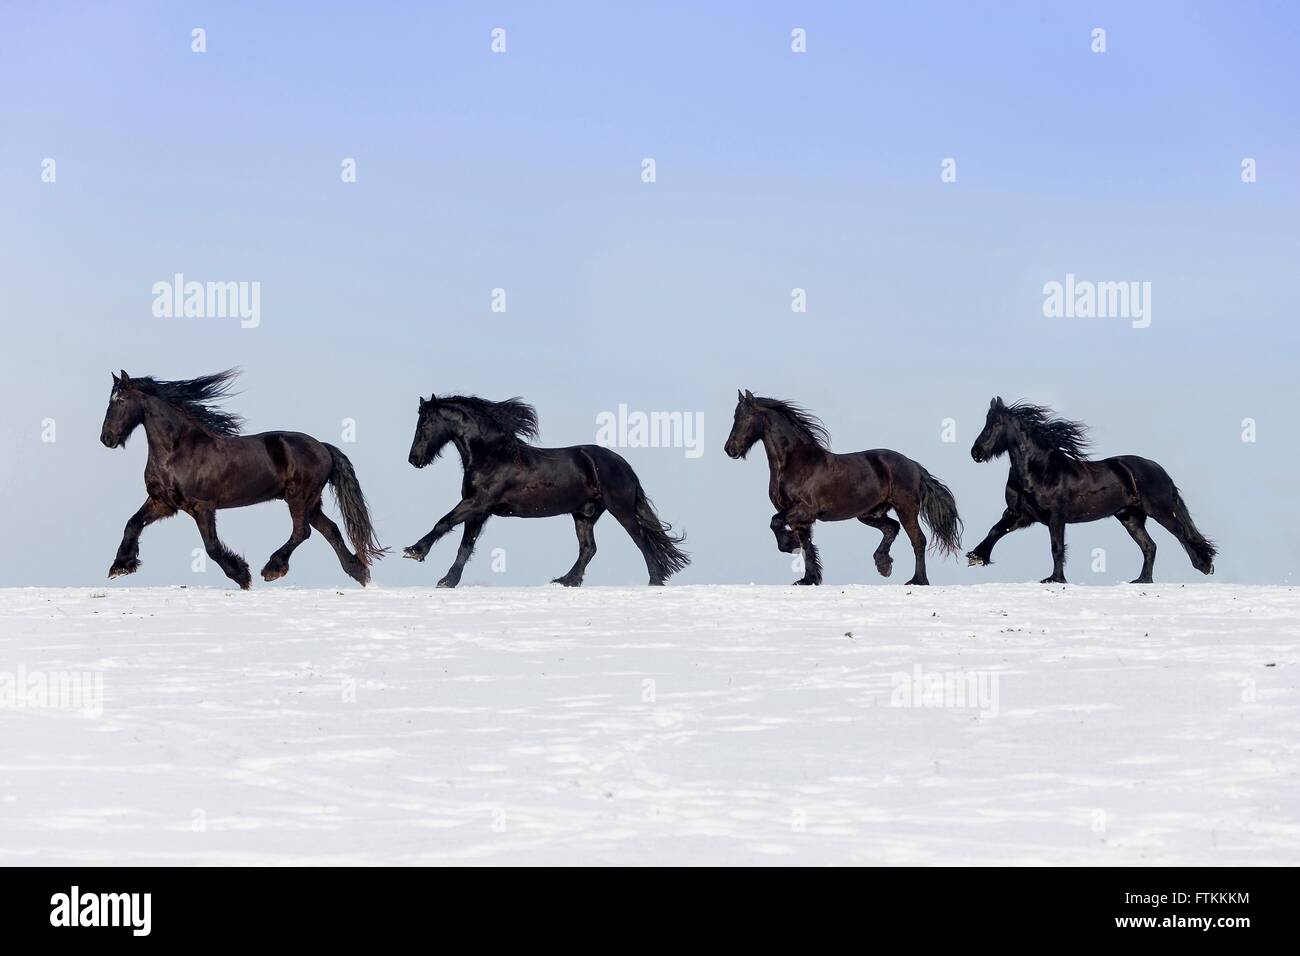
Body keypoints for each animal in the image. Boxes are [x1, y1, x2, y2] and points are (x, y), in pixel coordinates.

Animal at [99, 369, 385, 589]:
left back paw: (272, 569)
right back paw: (360, 574)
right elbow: (132, 524)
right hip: (312, 503)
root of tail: (323, 447)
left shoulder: (202, 506)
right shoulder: (163, 502)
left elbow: (212, 547)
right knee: (331, 531)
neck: (178, 449)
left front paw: (242, 576)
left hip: (299, 497)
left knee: (302, 532)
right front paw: (120, 567)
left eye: (120, 400)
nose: (107, 439)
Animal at [403, 393, 689, 587]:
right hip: (584, 514)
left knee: (641, 540)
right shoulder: (479, 511)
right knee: (589, 548)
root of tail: (623, 464)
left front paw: (415, 551)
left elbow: (443, 522)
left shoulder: (477, 503)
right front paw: (448, 580)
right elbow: (465, 546)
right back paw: (566, 580)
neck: (491, 455)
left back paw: (654, 580)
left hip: (620, 509)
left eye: (424, 424)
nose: (414, 459)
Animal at [723, 389, 963, 585]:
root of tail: (913, 465)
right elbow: (806, 544)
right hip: (868, 513)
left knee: (918, 540)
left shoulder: (804, 510)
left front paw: (789, 544)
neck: (794, 462)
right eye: (735, 416)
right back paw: (884, 565)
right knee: (891, 528)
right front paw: (808, 579)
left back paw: (917, 580)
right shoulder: (800, 517)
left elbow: (777, 523)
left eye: (745, 417)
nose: (730, 449)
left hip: (906, 508)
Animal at [966, 397, 1217, 583]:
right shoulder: (1020, 514)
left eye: (996, 424)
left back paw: (1205, 566)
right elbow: (995, 531)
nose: (976, 452)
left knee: (1183, 534)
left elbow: (1056, 547)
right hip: (1130, 517)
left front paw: (1055, 579)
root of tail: (1158, 469)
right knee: (1150, 546)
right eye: (986, 422)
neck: (1039, 471)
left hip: (1161, 511)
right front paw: (976, 557)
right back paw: (1142, 580)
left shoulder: (1055, 517)